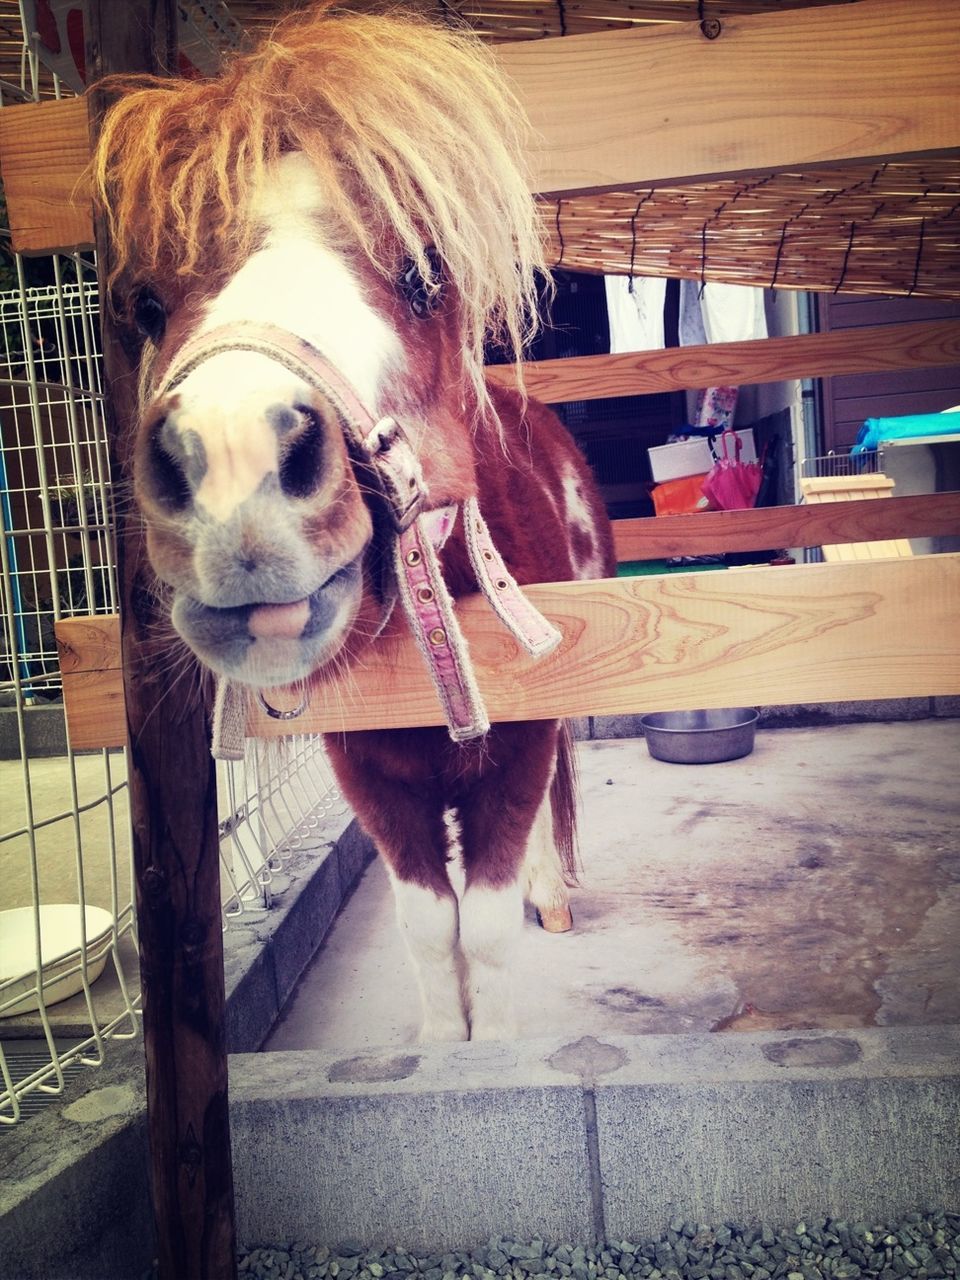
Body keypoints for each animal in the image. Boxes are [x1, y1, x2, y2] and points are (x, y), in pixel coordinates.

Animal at [92, 2, 616, 1039]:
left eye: (424, 274)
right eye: (149, 302)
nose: (235, 457)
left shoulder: (515, 750)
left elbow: (484, 928)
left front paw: (496, 1047)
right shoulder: (373, 775)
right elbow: (429, 932)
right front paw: (447, 1047)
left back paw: (552, 897)